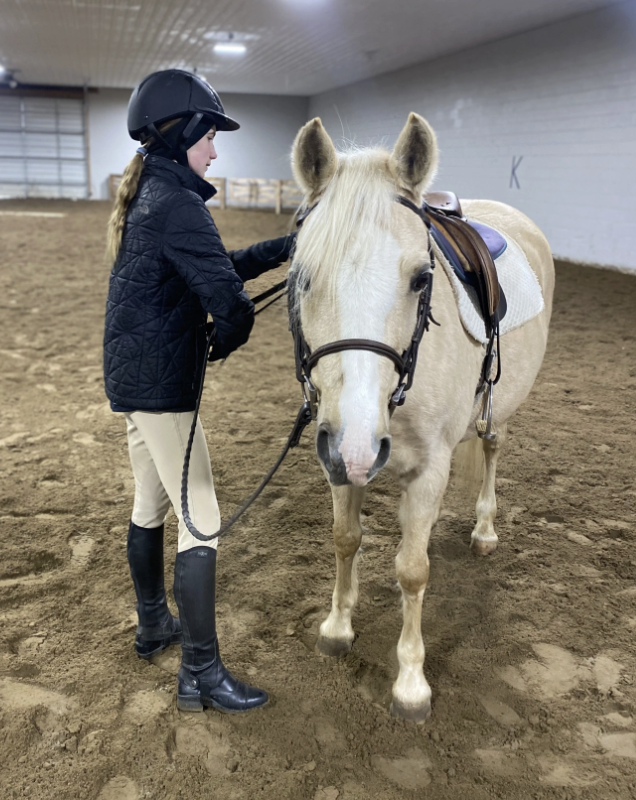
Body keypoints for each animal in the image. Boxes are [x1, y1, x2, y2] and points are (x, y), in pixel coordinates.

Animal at [289, 113, 555, 723]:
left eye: (419, 279)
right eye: (304, 277)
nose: (358, 448)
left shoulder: (427, 469)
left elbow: (412, 570)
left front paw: (411, 682)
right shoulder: (337, 453)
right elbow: (345, 538)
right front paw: (338, 626)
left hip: (498, 409)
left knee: (491, 450)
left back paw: (484, 530)